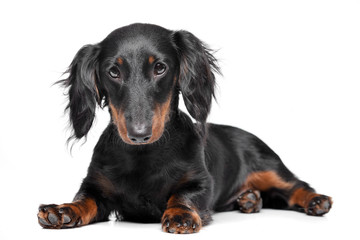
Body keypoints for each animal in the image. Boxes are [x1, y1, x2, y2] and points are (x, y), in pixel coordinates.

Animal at [37, 23, 332, 233]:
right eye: (113, 72)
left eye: (160, 68)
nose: (139, 134)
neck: (143, 156)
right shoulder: (95, 187)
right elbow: (84, 200)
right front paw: (62, 210)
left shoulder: (201, 182)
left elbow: (183, 195)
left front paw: (180, 214)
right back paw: (249, 199)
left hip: (269, 165)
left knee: (296, 186)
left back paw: (316, 201)